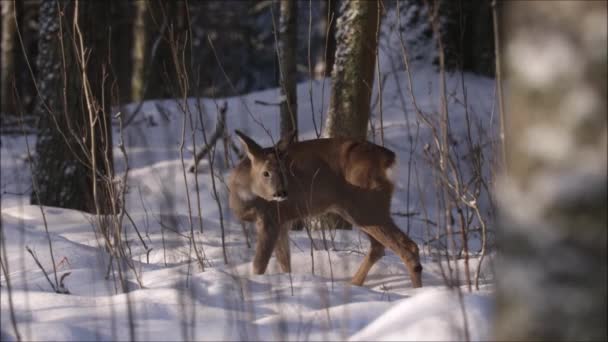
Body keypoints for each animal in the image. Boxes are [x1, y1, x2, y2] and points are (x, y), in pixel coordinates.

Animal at [228, 130, 422, 288]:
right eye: (266, 173)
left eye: (284, 171)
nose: (282, 192)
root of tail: (390, 159)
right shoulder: (282, 221)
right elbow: (285, 262)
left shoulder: (270, 218)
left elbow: (259, 265)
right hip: (355, 208)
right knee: (378, 247)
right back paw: (353, 284)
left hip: (366, 204)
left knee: (407, 247)